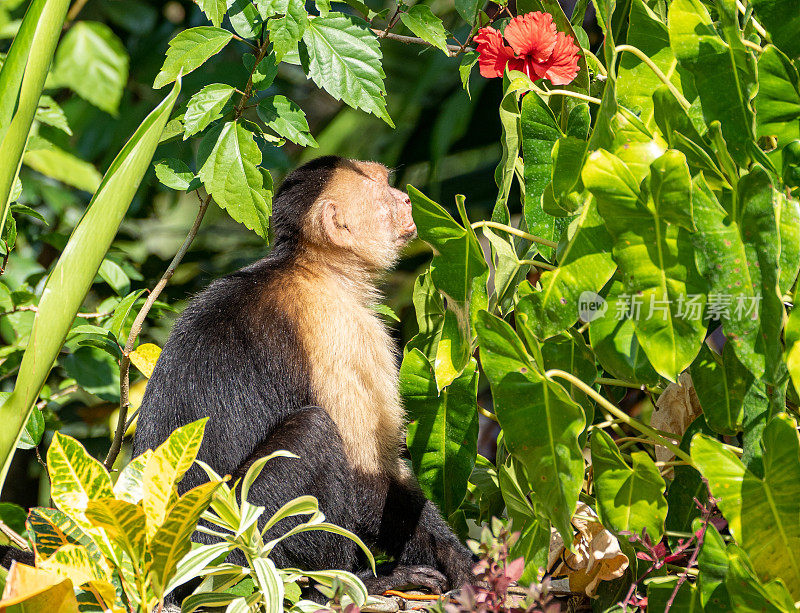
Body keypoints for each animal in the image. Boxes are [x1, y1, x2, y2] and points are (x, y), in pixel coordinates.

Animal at [131, 154, 476, 596]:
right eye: (382, 189)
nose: (405, 200)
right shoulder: (343, 327)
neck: (316, 268)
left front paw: (458, 559)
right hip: (238, 548)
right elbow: (369, 471)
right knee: (315, 431)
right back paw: (345, 583)